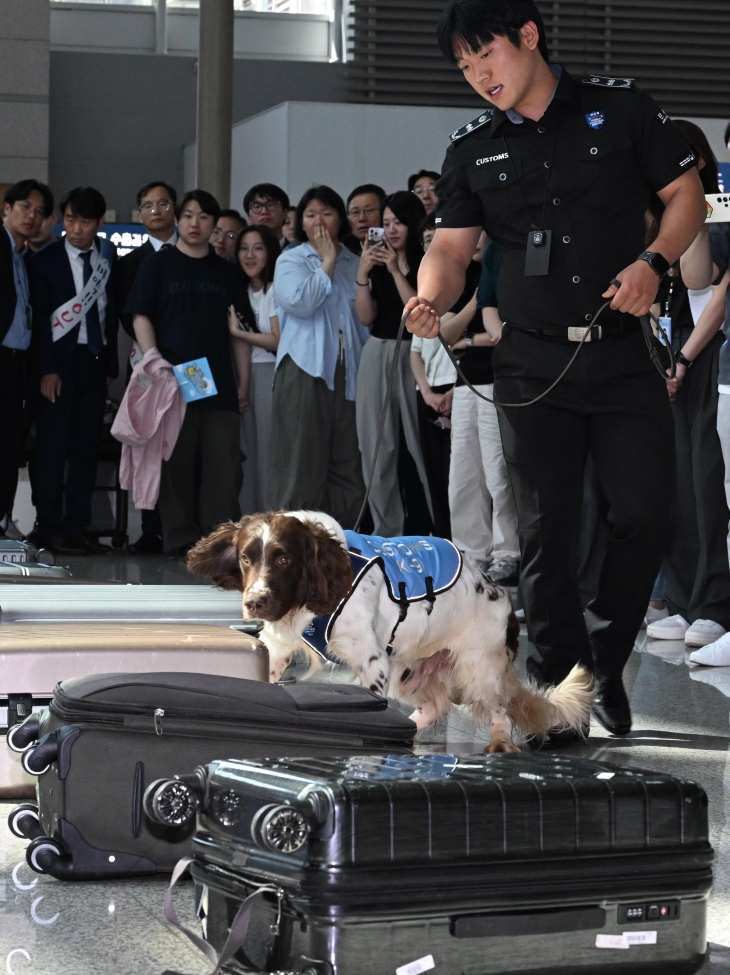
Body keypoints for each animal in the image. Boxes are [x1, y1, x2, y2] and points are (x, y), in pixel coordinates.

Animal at [188, 508, 592, 752]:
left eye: (284, 558)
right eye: (245, 557)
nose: (254, 602)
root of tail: (502, 598)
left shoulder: (373, 662)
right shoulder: (277, 646)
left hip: (478, 668)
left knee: (501, 712)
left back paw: (498, 744)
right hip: (410, 671)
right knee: (435, 707)